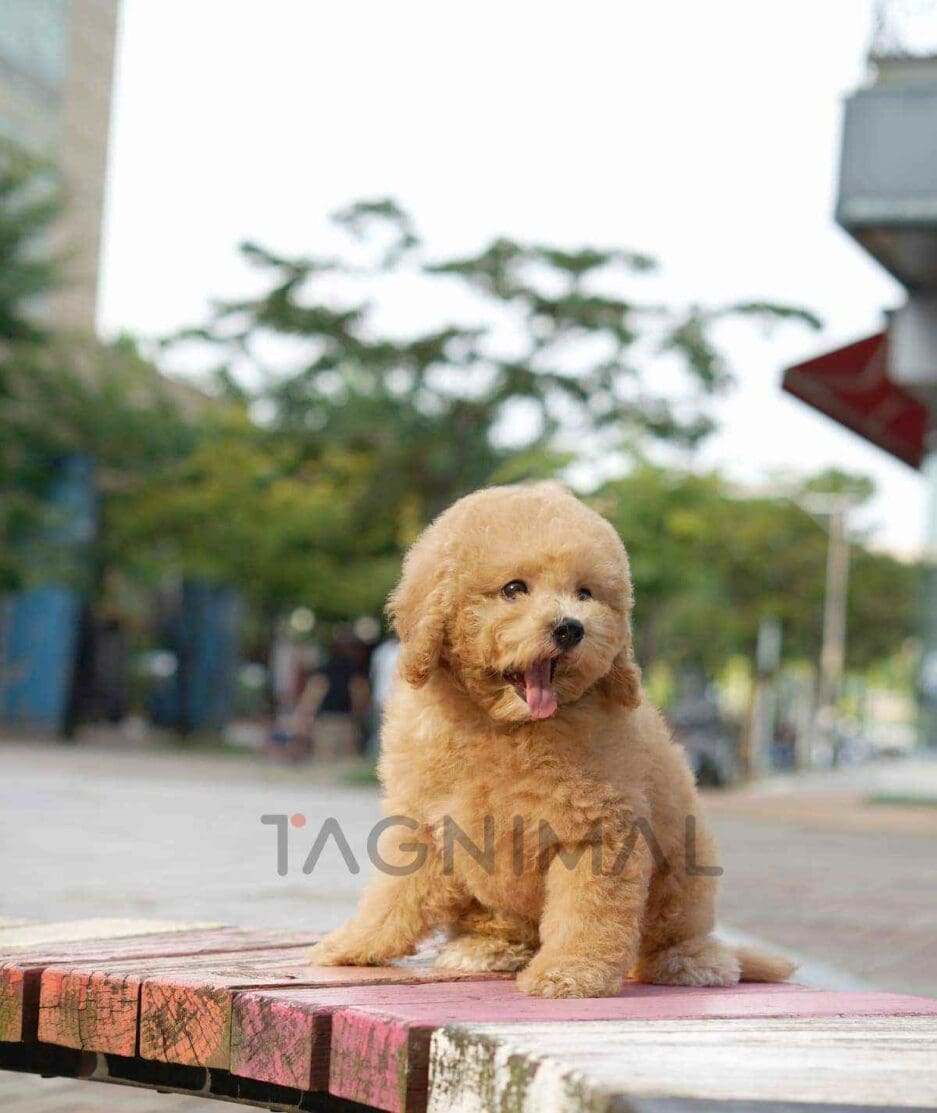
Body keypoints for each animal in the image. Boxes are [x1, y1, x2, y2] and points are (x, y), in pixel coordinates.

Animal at [309, 483, 792, 997]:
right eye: (513, 589)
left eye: (585, 593)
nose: (570, 627)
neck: (505, 726)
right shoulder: (420, 824)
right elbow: (392, 895)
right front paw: (354, 943)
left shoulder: (597, 832)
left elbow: (587, 912)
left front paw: (570, 971)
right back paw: (490, 947)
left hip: (685, 868)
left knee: (676, 931)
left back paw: (691, 962)